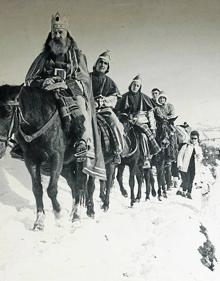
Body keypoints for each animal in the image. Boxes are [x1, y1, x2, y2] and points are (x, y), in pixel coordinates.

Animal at [0, 84, 95, 229]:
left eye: (9, 112)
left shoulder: (56, 157)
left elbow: (51, 189)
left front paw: (58, 217)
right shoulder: (31, 160)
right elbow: (37, 189)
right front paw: (39, 221)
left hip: (79, 161)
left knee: (80, 185)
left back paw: (76, 216)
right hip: (65, 168)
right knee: (73, 185)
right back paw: (73, 213)